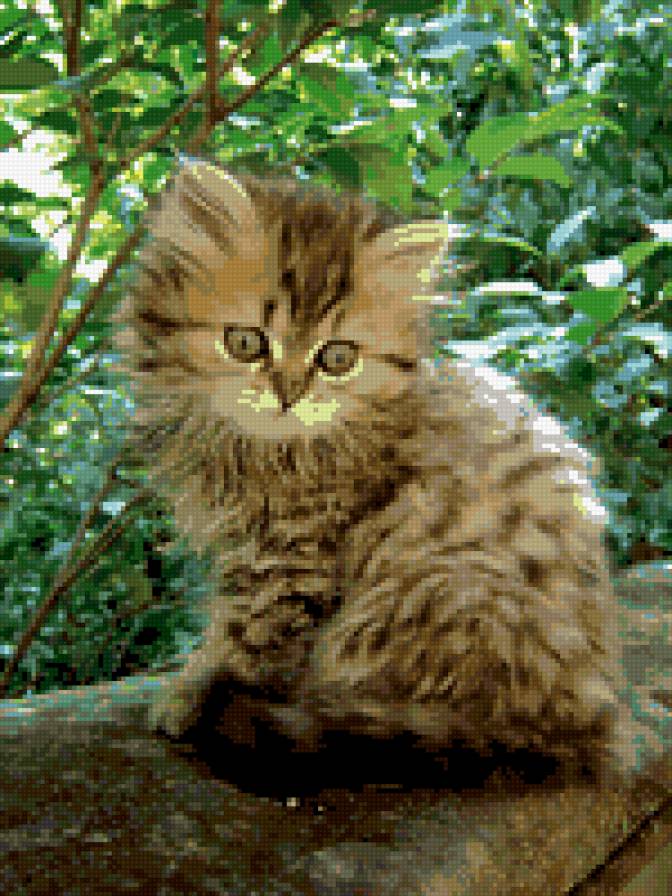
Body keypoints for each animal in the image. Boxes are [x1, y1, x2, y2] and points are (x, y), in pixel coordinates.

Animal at [117, 159, 626, 770]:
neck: (264, 451)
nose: (288, 393)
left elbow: (242, 641)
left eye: (337, 358)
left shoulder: (289, 561)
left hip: (429, 593)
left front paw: (191, 695)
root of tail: (587, 714)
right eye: (245, 343)